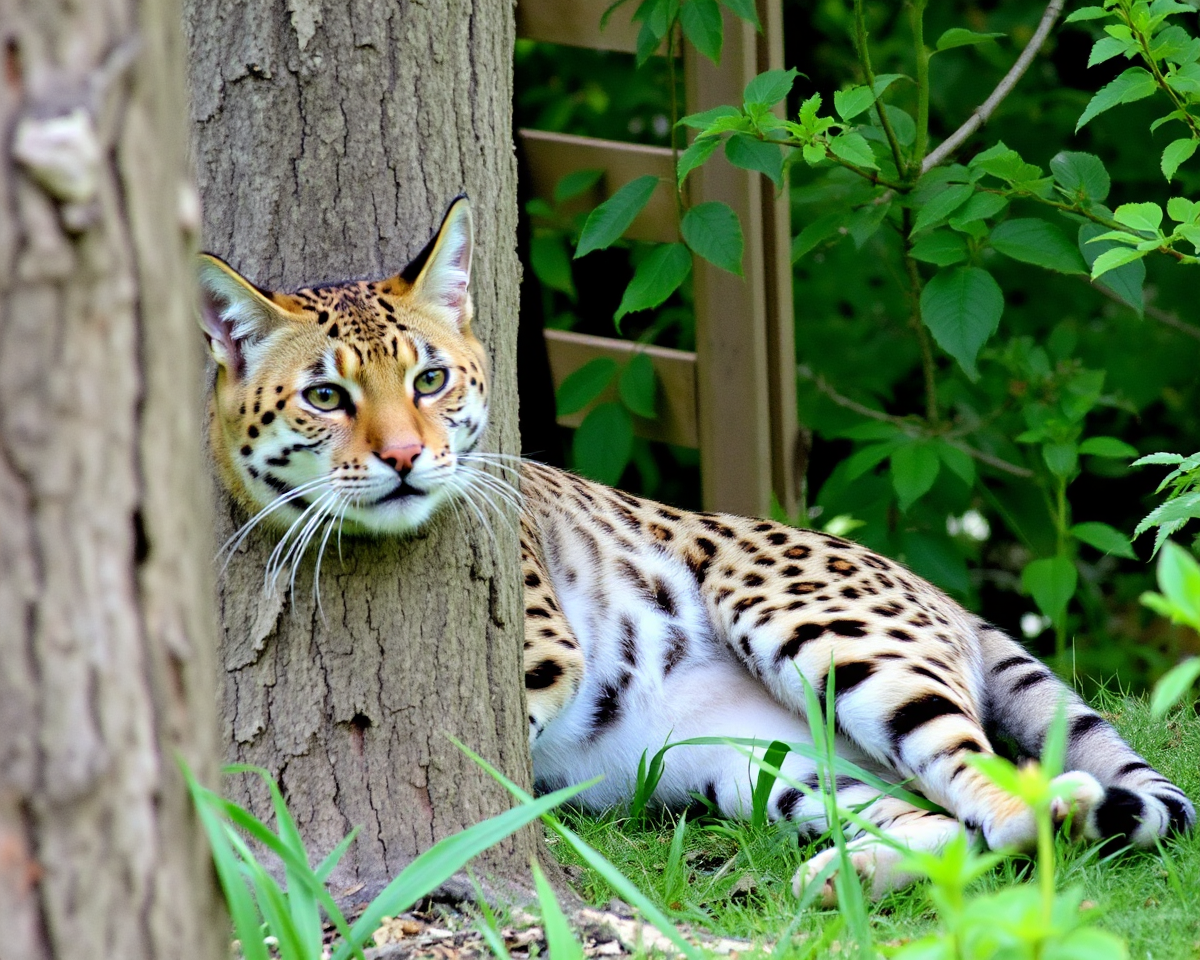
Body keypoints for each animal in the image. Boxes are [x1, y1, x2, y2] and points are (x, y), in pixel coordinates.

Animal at [196, 196, 1190, 907]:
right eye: (326, 397)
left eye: (430, 380)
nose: (405, 458)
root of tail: (940, 594)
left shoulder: (546, 655)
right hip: (760, 761)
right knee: (945, 826)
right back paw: (846, 877)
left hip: (828, 636)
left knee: (1004, 790)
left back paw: (1044, 811)